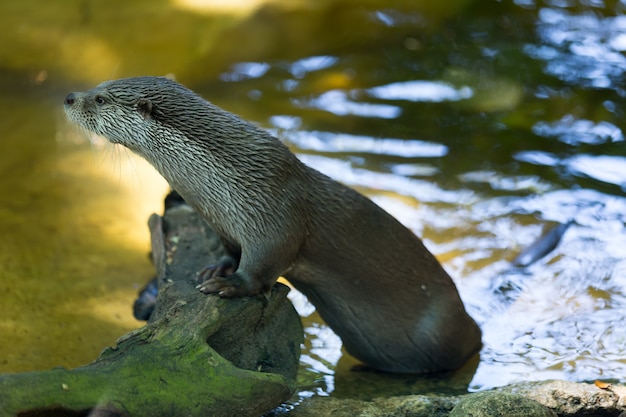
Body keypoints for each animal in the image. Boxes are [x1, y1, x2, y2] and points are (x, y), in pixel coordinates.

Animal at [63, 76, 480, 372]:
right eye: (97, 87)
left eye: (100, 99)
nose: (68, 98)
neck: (223, 179)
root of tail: (470, 324)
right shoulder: (226, 222)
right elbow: (232, 251)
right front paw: (217, 268)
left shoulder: (273, 218)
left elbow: (263, 269)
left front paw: (228, 285)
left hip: (440, 329)